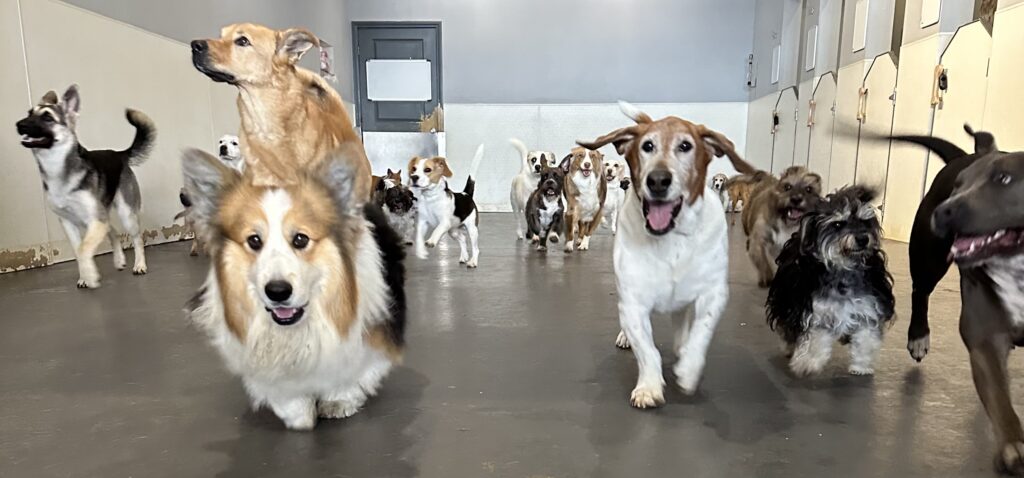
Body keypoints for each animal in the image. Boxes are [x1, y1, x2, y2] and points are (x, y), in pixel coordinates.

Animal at [182, 148, 405, 429]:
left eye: (301, 239)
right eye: (254, 241)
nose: (277, 291)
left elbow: (352, 370)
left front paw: (338, 401)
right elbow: (284, 392)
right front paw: (299, 414)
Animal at [407, 142, 483, 270]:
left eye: (427, 169)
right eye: (414, 169)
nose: (414, 177)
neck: (431, 198)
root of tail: (466, 194)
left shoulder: (444, 223)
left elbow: (436, 230)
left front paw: (431, 241)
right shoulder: (423, 222)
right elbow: (418, 237)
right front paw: (421, 251)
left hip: (472, 229)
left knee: (476, 248)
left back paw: (473, 262)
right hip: (453, 231)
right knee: (462, 239)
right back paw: (464, 257)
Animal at [581, 102, 757, 409]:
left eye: (685, 146)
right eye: (647, 146)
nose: (658, 180)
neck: (670, 239)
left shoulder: (713, 294)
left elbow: (700, 333)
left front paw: (688, 367)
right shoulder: (633, 303)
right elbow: (647, 350)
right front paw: (649, 386)